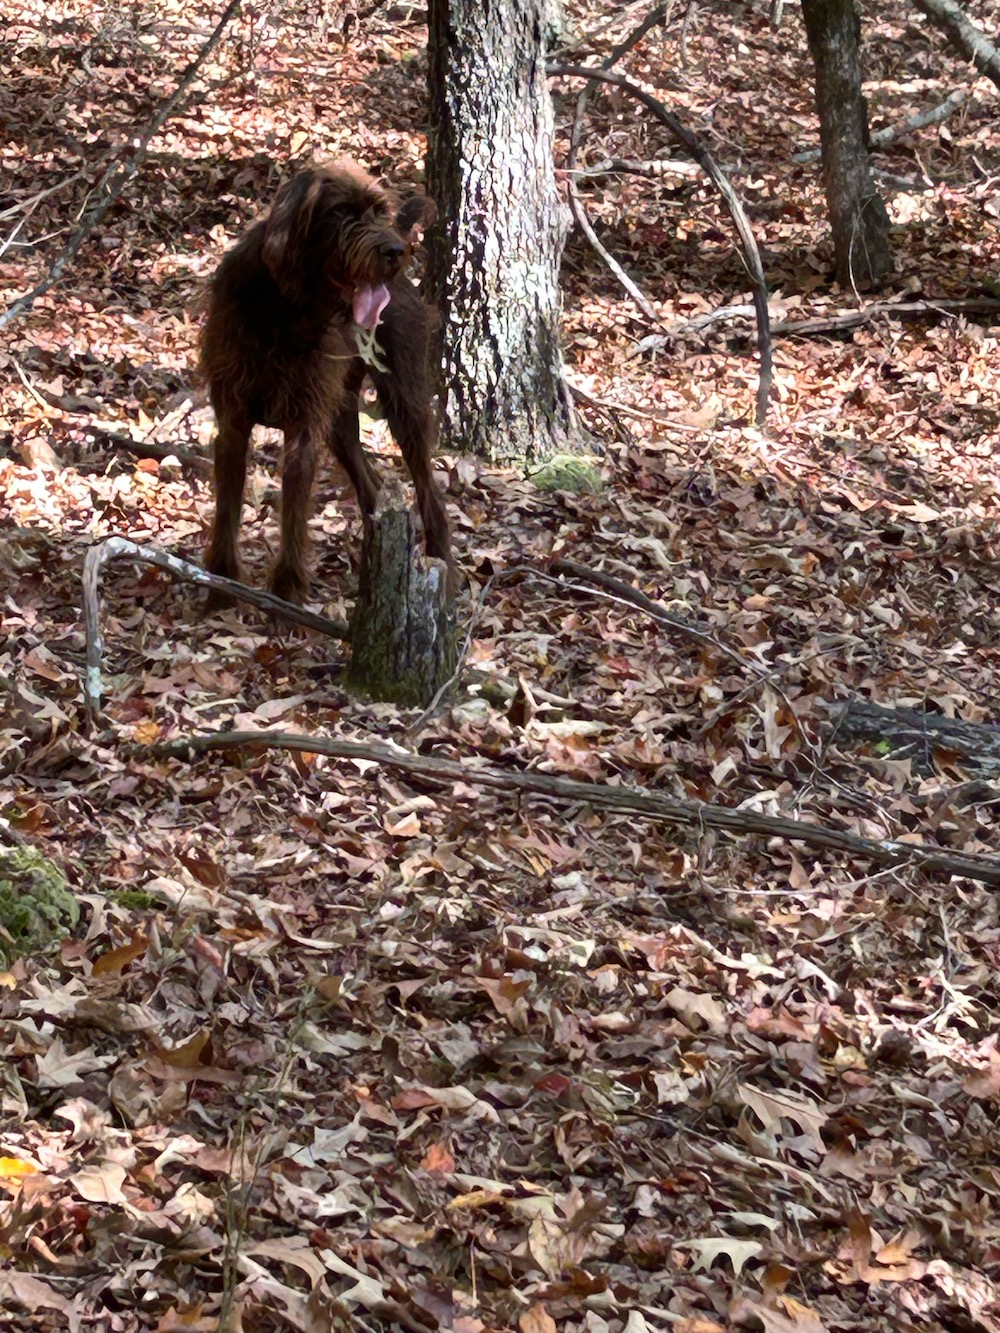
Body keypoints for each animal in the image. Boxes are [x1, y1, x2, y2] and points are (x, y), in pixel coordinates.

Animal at [200, 161, 450, 605]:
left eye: (378, 211)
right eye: (341, 213)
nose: (394, 251)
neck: (283, 308)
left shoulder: (302, 428)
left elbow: (293, 510)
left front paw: (285, 591)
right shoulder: (233, 420)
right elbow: (227, 505)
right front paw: (222, 580)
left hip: (404, 402)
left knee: (426, 486)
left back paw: (440, 560)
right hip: (339, 420)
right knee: (371, 488)